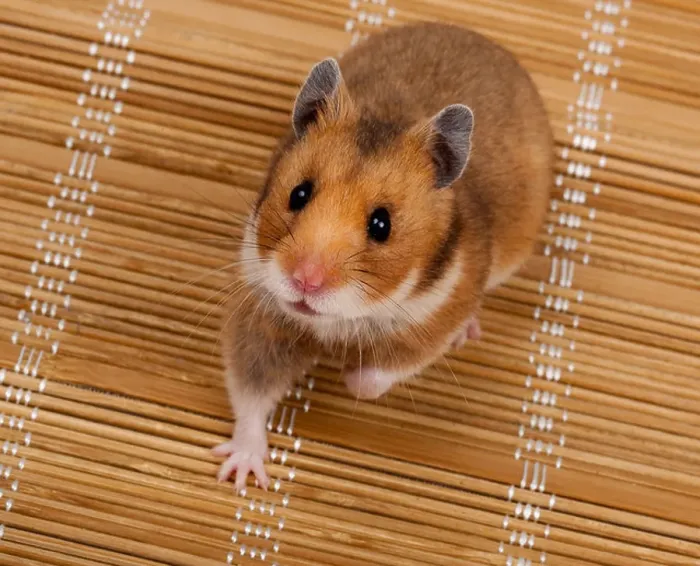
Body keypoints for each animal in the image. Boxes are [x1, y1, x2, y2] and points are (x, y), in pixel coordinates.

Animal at [213, 22, 553, 490]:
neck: (339, 321)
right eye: (299, 194)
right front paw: (242, 474)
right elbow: (249, 391)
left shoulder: (434, 317)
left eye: (381, 224)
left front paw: (345, 374)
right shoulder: (261, 311)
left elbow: (378, 375)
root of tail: (477, 37)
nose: (304, 281)